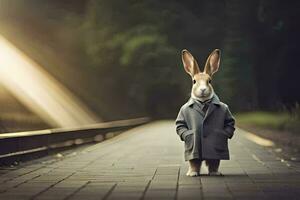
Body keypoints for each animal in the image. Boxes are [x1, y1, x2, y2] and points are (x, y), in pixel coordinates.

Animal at [175, 48, 236, 177]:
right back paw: (192, 173)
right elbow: (180, 125)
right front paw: (192, 174)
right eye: (194, 81)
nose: (203, 89)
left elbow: (230, 122)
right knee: (194, 161)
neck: (203, 102)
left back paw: (215, 173)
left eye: (209, 81)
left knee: (214, 161)